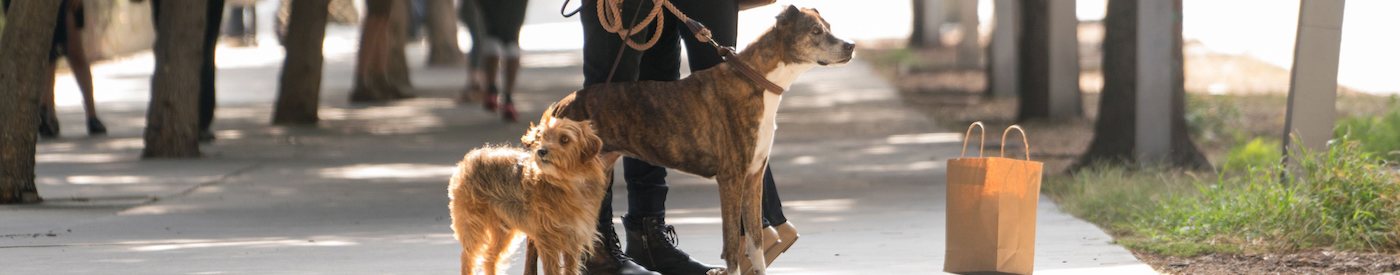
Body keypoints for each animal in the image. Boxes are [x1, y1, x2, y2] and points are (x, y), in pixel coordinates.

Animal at [445, 117, 604, 275]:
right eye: (543, 137)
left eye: (564, 139)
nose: (541, 151)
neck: (566, 183)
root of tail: (471, 157)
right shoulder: (547, 241)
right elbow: (551, 270)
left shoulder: (572, 241)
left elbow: (570, 269)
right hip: (473, 227)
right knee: (468, 257)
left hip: (504, 231)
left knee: (489, 258)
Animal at [543, 5, 851, 272]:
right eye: (815, 31)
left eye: (828, 27)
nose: (850, 46)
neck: (756, 80)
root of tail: (562, 106)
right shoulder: (731, 179)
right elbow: (732, 247)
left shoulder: (753, 178)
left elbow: (755, 245)